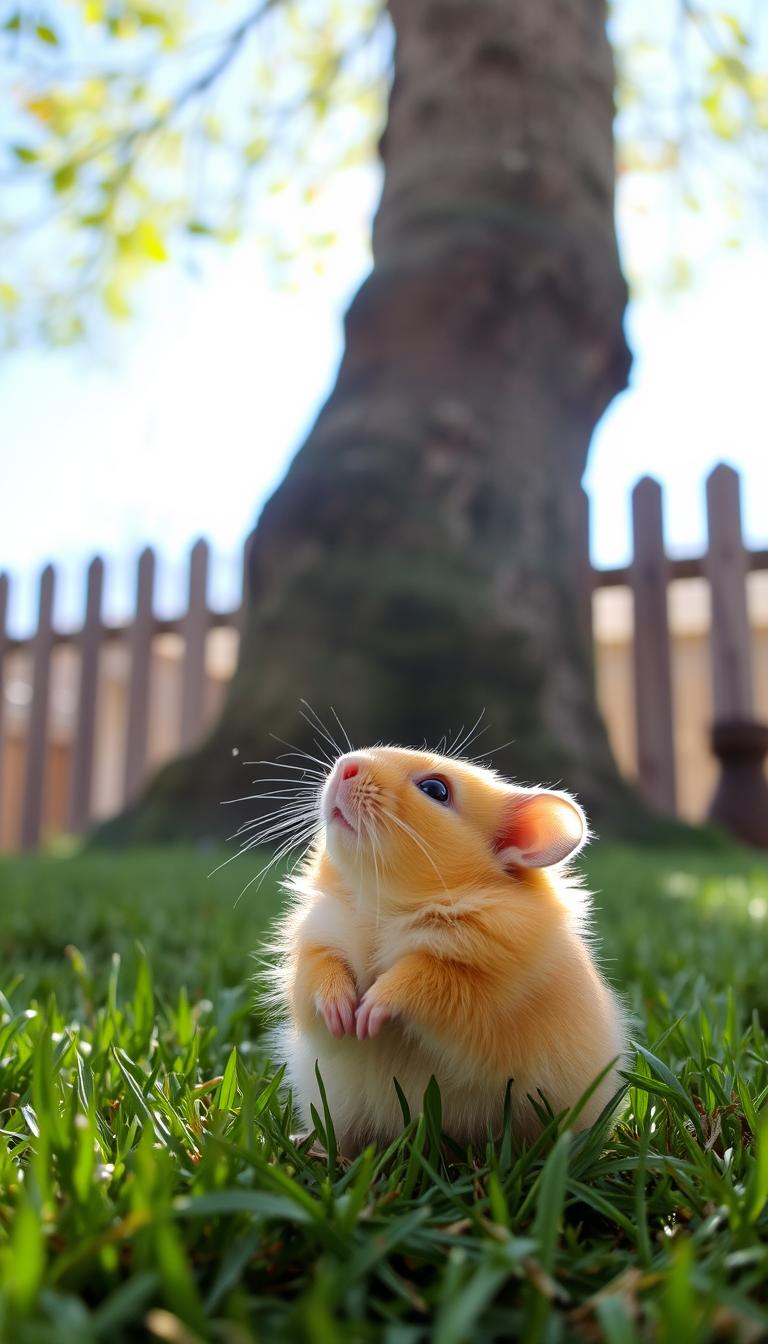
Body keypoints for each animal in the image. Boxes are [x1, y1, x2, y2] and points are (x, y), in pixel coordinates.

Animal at [265, 745, 628, 1155]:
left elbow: (419, 980)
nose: (346, 766)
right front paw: (342, 1017)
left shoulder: (477, 985)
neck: (382, 902)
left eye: (436, 790)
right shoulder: (316, 944)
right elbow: (319, 976)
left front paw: (368, 1015)